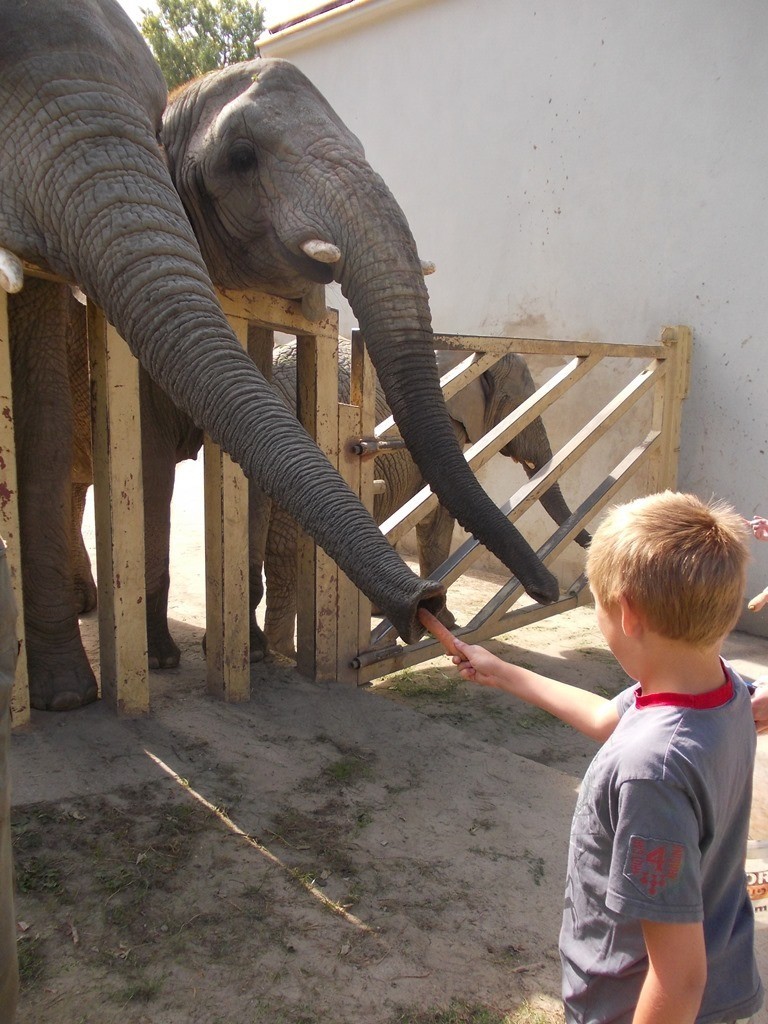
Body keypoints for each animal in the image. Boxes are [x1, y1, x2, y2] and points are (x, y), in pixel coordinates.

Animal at [262, 339, 593, 651]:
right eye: (517, 403)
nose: (549, 593)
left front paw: (384, 614)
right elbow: (434, 512)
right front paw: (447, 623)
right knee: (285, 550)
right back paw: (283, 653)